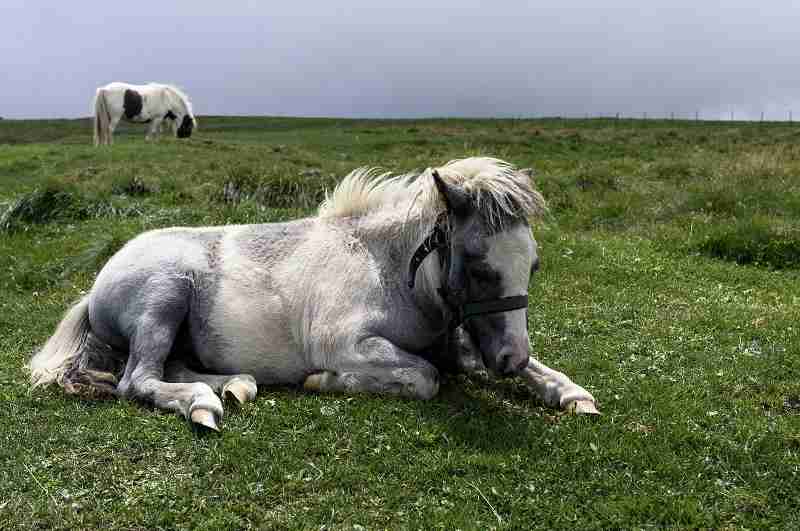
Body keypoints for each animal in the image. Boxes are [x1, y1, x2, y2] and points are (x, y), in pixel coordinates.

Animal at [28, 157, 598, 431]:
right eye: (479, 267)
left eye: (533, 265)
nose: (509, 358)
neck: (388, 269)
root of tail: (96, 286)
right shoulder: (347, 343)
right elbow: (425, 377)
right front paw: (325, 381)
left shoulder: (467, 342)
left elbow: (536, 370)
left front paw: (572, 394)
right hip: (165, 294)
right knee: (138, 380)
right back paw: (203, 404)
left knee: (171, 369)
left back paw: (234, 386)